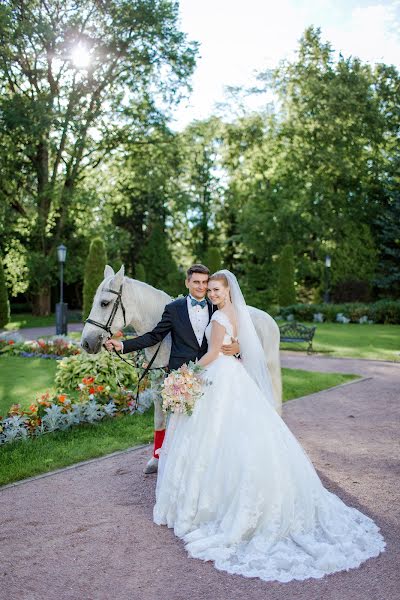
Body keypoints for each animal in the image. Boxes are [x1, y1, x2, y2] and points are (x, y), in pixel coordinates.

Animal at [80, 266, 282, 468]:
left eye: (105, 303)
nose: (86, 343)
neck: (165, 337)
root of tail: (269, 319)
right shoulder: (158, 382)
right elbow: (159, 419)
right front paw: (156, 459)